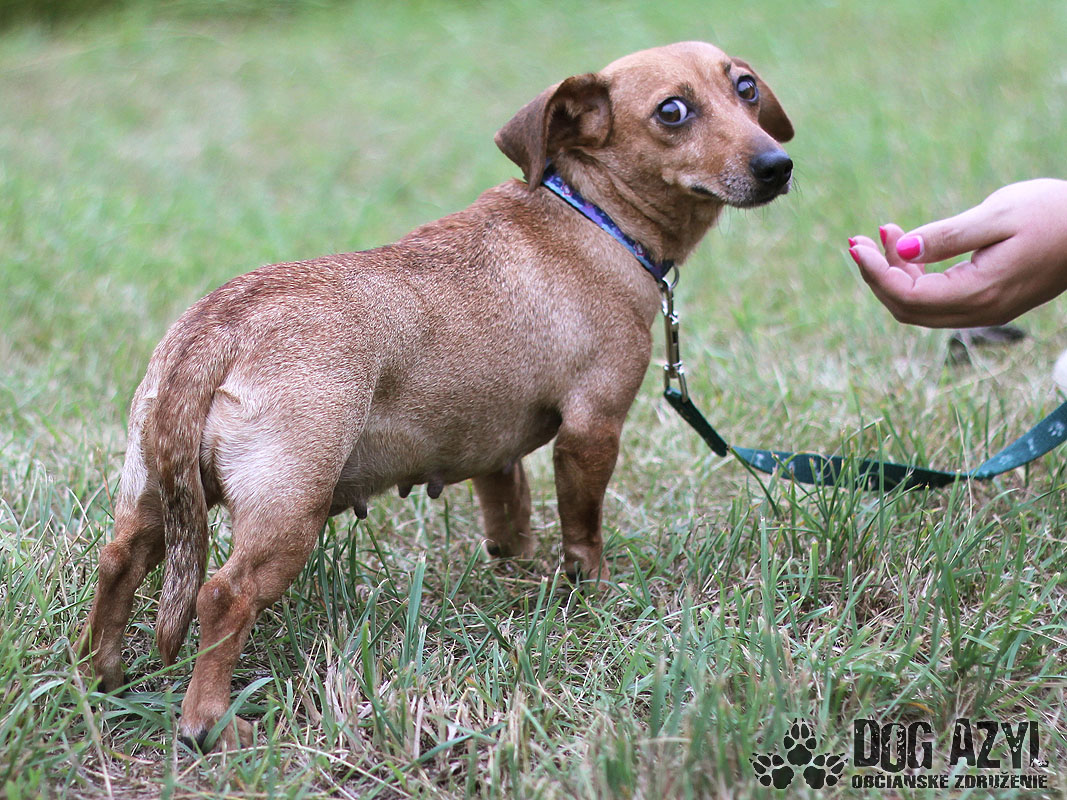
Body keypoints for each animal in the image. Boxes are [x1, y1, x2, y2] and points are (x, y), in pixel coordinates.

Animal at [76, 41, 793, 751]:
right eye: (672, 111)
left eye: (746, 88)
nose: (778, 165)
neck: (591, 215)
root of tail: (218, 327)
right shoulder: (592, 431)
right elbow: (582, 531)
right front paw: (592, 590)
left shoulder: (496, 455)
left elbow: (511, 521)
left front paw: (516, 574)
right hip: (288, 515)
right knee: (223, 597)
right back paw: (210, 725)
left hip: (152, 495)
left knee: (118, 562)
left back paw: (100, 676)